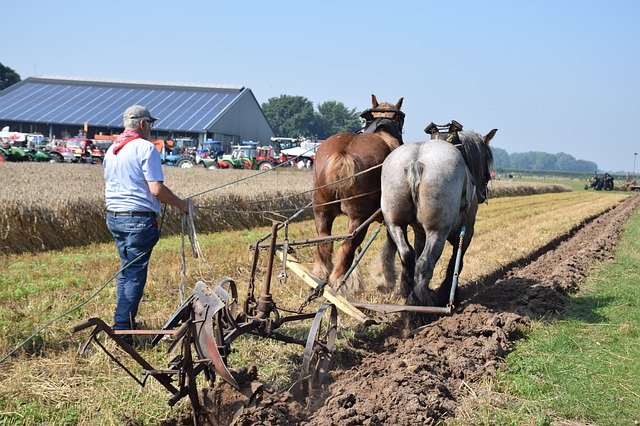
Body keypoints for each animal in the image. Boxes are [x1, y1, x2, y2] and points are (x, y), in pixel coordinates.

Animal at [312, 94, 404, 292]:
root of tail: (343, 153)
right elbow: (391, 245)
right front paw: (386, 278)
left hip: (322, 211)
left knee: (326, 243)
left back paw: (320, 277)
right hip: (359, 217)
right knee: (347, 246)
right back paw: (339, 283)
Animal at [380, 128, 496, 322]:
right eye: (486, 159)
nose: (483, 193)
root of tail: (416, 161)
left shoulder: (419, 231)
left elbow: (418, 252)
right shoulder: (467, 230)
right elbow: (456, 263)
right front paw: (448, 296)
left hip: (395, 223)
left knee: (408, 256)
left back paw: (410, 294)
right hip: (437, 231)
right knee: (424, 263)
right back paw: (420, 310)